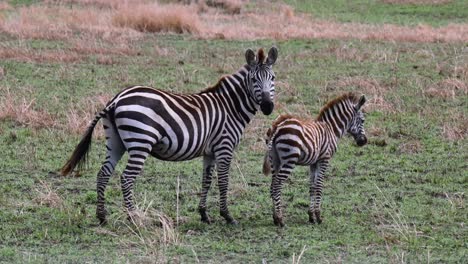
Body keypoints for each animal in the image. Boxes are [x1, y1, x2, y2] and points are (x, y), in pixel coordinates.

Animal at [59, 47, 276, 225]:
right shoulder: (225, 146)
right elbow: (223, 181)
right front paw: (227, 216)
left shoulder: (210, 151)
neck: (230, 106)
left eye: (273, 78)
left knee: (103, 173)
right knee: (126, 178)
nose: (268, 107)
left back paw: (102, 216)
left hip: (115, 141)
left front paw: (204, 214)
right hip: (140, 142)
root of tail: (117, 99)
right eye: (254, 80)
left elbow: (206, 180)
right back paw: (135, 218)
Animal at [264, 93, 366, 227]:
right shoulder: (324, 159)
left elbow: (312, 186)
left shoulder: (313, 162)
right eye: (363, 120)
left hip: (274, 160)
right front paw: (318, 216)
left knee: (272, 186)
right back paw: (280, 219)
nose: (364, 141)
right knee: (277, 185)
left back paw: (275, 218)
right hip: (289, 160)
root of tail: (277, 125)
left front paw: (311, 216)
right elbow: (319, 185)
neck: (331, 128)